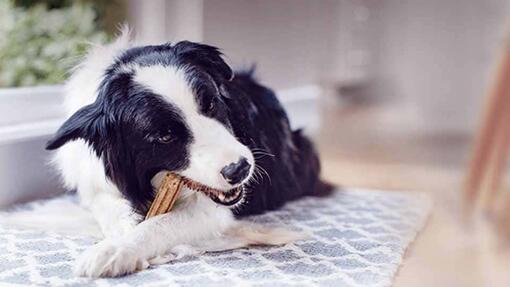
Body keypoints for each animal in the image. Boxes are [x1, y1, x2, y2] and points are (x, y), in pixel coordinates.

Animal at [43, 31, 330, 280]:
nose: (240, 169)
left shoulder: (213, 212)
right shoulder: (96, 181)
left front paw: (116, 250)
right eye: (165, 136)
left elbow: (160, 224)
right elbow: (109, 208)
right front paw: (121, 238)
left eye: (211, 104)